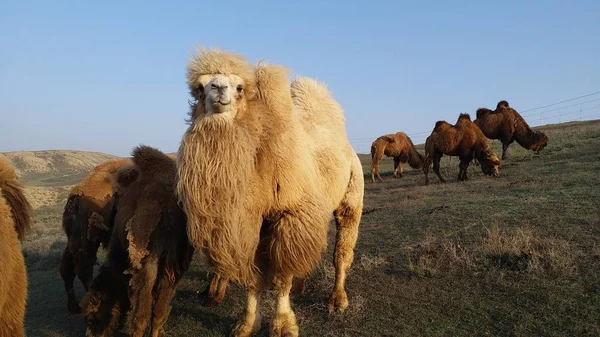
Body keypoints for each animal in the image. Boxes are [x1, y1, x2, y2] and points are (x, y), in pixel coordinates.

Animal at [59, 158, 131, 312]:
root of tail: (76, 196)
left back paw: (74, 307)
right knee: (83, 268)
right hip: (89, 241)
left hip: (75, 240)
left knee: (66, 268)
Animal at [82, 145, 193, 336]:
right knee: (158, 311)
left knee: (141, 315)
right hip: (174, 268)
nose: (89, 334)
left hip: (147, 266)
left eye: (92, 316)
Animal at [176, 47, 364, 336]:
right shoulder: (250, 221)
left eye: (239, 88)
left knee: (342, 250)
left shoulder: (289, 214)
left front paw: (284, 325)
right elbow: (252, 277)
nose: (218, 89)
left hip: (352, 195)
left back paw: (337, 300)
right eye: (199, 87)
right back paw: (302, 286)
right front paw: (246, 324)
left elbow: (281, 276)